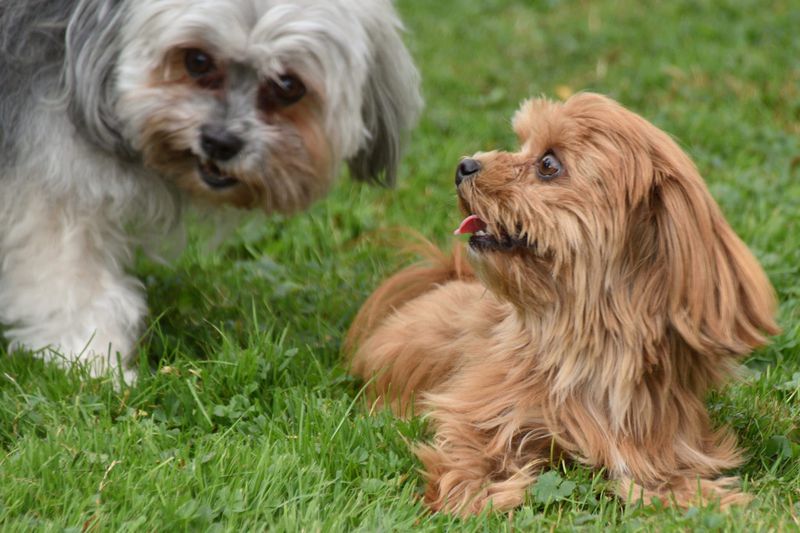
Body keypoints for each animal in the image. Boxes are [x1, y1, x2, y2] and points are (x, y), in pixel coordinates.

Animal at [0, 0, 421, 381]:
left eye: (288, 85)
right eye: (197, 61)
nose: (220, 142)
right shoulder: (55, 176)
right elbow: (70, 276)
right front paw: (92, 360)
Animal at [347, 93, 779, 515]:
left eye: (548, 164)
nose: (464, 165)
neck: (587, 343)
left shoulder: (657, 446)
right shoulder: (478, 407)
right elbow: (470, 447)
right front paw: (482, 491)